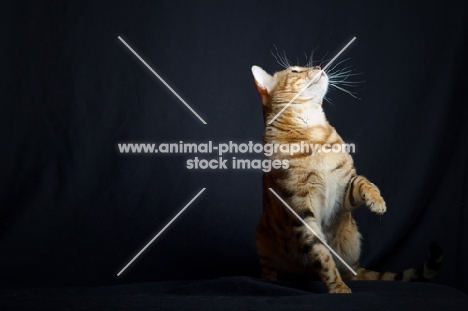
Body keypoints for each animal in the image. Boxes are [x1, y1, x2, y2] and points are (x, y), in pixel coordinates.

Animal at [252, 64, 442, 294]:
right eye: (295, 71)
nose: (318, 66)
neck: (312, 132)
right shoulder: (301, 210)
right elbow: (321, 256)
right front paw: (337, 288)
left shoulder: (342, 191)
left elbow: (363, 182)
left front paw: (377, 201)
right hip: (263, 242)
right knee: (270, 271)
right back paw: (272, 279)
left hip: (352, 239)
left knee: (353, 272)